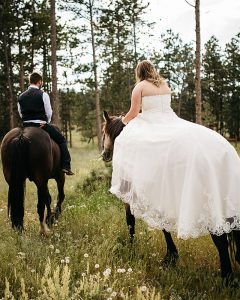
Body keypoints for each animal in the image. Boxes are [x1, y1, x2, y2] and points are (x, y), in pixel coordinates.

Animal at [102, 110, 240, 282]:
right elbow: (163, 224)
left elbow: (131, 221)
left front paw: (133, 248)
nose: (104, 154)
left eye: (103, 132)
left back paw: (226, 277)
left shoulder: (130, 191)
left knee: (220, 240)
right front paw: (171, 256)